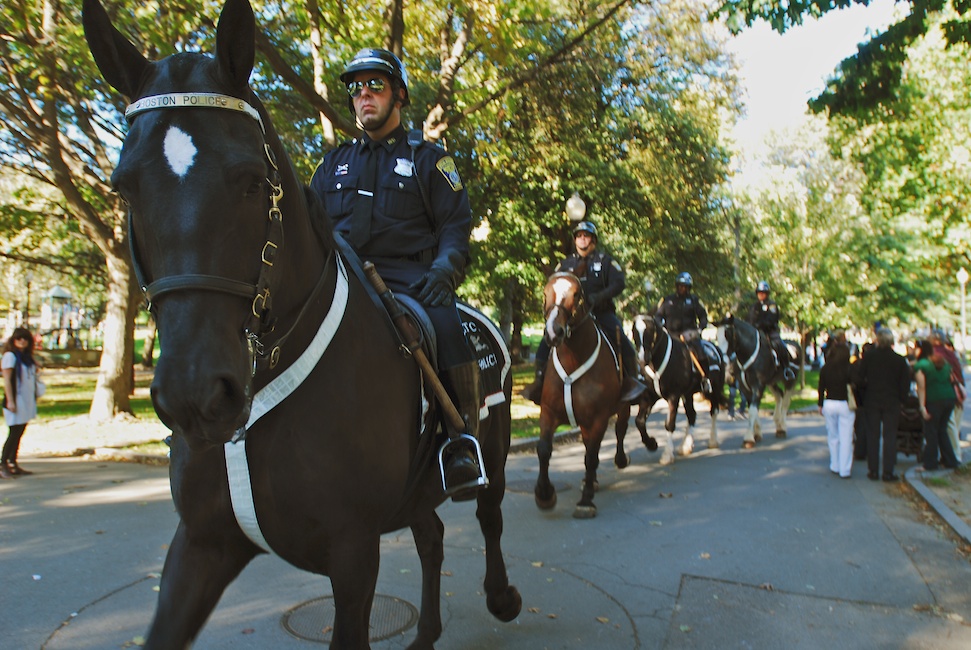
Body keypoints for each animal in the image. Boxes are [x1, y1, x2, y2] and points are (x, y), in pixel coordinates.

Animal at [83, 0, 524, 644]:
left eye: (252, 180)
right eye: (125, 186)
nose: (194, 392)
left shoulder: (354, 555)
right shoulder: (202, 543)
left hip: (492, 444)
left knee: (489, 515)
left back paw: (501, 594)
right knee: (432, 536)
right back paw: (426, 633)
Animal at [532, 270, 632, 520]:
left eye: (577, 294)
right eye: (545, 293)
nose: (553, 332)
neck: (573, 360)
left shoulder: (599, 417)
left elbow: (591, 456)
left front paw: (586, 501)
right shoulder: (548, 412)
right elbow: (544, 449)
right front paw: (544, 494)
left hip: (622, 408)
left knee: (619, 431)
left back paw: (619, 460)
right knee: (589, 445)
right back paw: (592, 480)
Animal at [628, 312, 724, 460]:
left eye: (650, 330)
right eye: (634, 331)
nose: (643, 359)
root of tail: (716, 348)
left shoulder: (674, 396)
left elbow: (669, 424)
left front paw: (667, 454)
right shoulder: (650, 396)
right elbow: (639, 421)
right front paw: (652, 444)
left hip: (714, 390)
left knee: (714, 411)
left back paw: (713, 440)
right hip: (688, 394)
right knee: (692, 415)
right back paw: (685, 446)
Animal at [712, 314, 796, 446]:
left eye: (728, 335)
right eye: (717, 336)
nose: (724, 362)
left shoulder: (758, 386)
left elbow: (752, 410)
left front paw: (748, 438)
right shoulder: (745, 387)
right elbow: (753, 408)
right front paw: (756, 433)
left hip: (789, 381)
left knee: (786, 401)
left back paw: (782, 427)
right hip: (771, 383)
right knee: (779, 395)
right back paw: (778, 424)